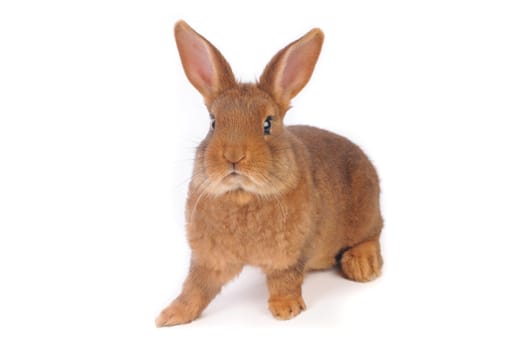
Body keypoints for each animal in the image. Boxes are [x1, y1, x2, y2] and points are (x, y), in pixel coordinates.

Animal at [157, 20, 384, 326]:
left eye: (267, 124)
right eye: (213, 123)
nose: (234, 156)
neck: (242, 196)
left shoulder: (287, 256)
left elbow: (284, 280)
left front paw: (285, 309)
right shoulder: (209, 259)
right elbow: (196, 287)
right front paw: (171, 315)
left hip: (365, 215)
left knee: (373, 234)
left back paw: (362, 265)